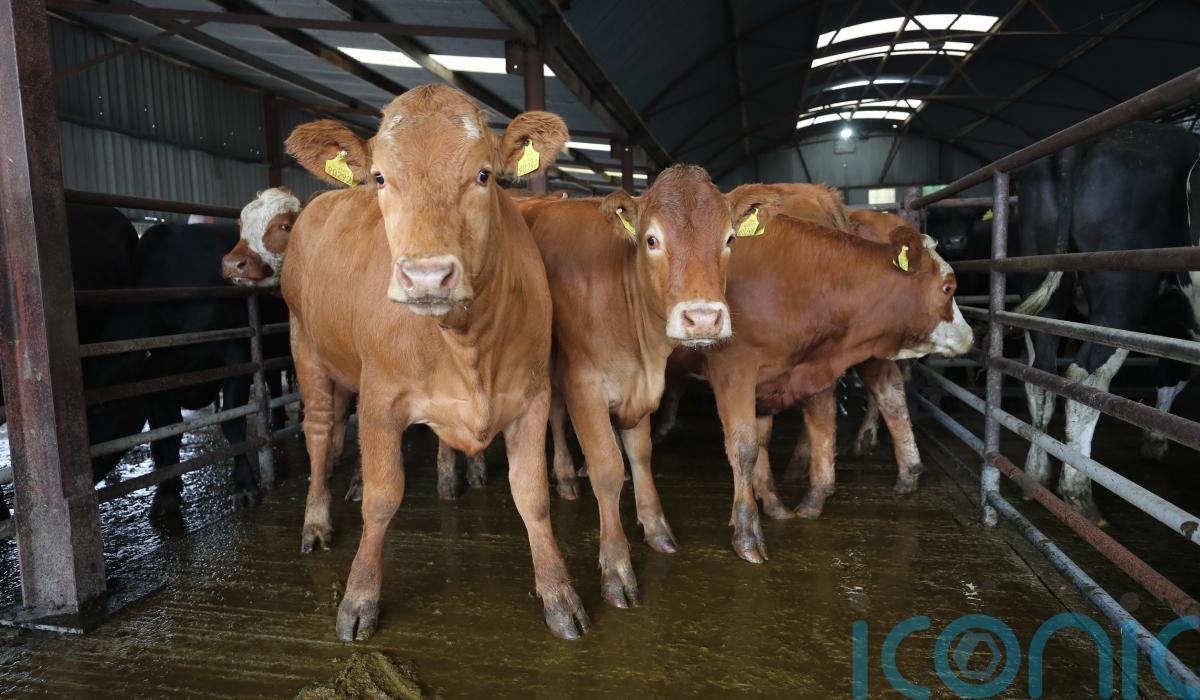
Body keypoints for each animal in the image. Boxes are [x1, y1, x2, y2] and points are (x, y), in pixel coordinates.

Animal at [281, 84, 587, 641]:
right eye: (381, 177)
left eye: (484, 174)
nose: (426, 276)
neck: (466, 343)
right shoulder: (381, 398)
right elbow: (383, 499)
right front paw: (359, 597)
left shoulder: (531, 396)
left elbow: (533, 495)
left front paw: (559, 593)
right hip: (304, 345)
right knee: (318, 432)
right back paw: (315, 521)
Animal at [518, 168, 765, 608]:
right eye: (652, 240)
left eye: (729, 239)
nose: (703, 318)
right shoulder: (583, 383)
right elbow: (608, 469)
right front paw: (617, 567)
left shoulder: (645, 386)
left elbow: (641, 454)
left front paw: (655, 527)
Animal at [1014, 121, 1200, 524]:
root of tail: (1080, 142)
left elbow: (1171, 376)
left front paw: (1155, 442)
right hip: (1120, 296)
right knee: (1087, 376)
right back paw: (1079, 494)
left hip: (1047, 291)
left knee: (1041, 372)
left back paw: (1036, 474)